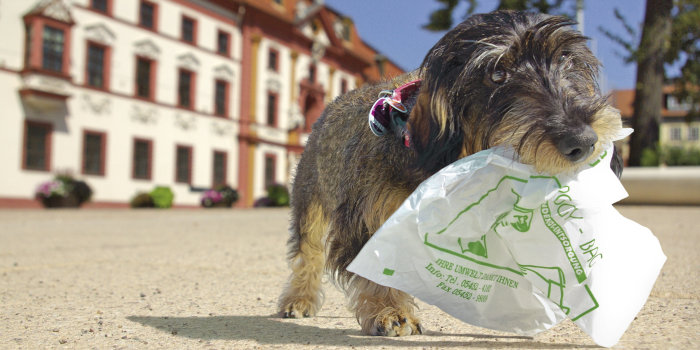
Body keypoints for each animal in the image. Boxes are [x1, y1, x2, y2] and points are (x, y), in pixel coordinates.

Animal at [278, 10, 624, 336]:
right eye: (497, 73)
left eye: (566, 59)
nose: (582, 140)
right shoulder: (364, 220)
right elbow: (372, 274)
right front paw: (390, 311)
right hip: (310, 203)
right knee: (308, 254)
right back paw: (299, 299)